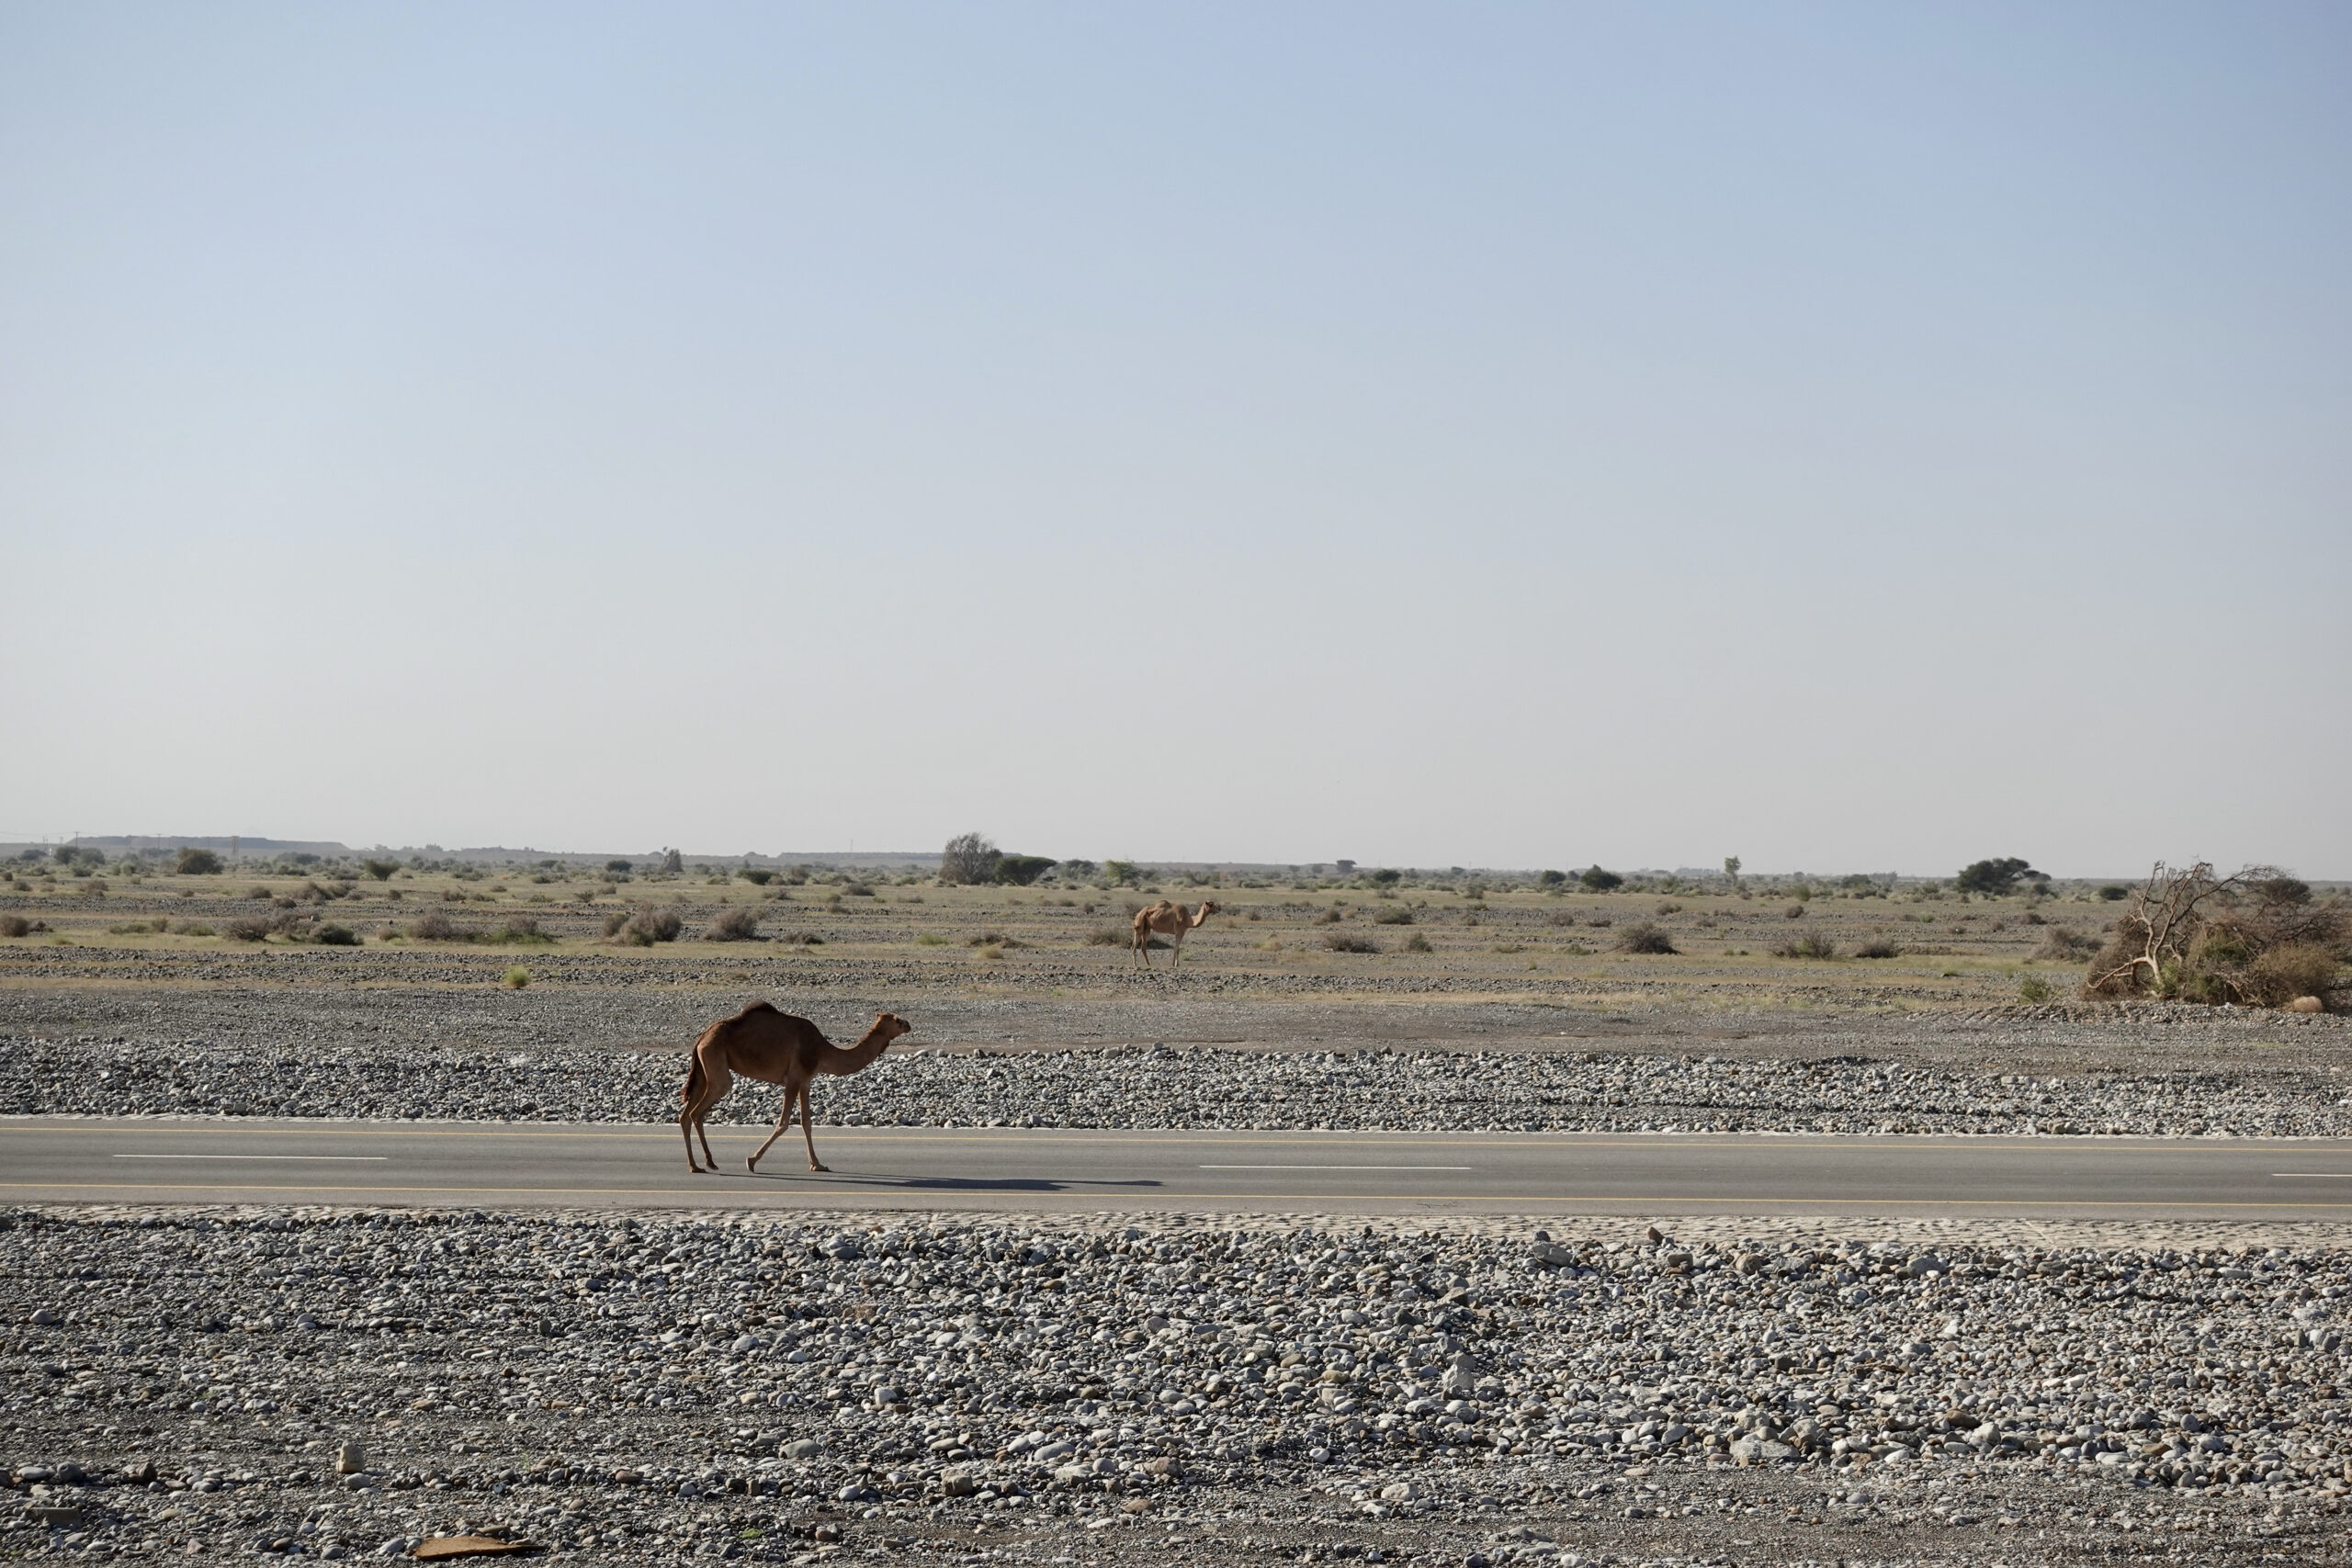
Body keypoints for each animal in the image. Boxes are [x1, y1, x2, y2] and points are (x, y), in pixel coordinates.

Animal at [682, 1010, 908, 1170]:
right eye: (897, 1020)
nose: (908, 1025)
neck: (823, 1051)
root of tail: (703, 1036)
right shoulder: (794, 1078)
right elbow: (783, 1123)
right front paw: (752, 1160)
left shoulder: (806, 1081)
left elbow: (806, 1122)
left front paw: (818, 1164)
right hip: (716, 1062)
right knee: (699, 1110)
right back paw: (705, 1163)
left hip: (703, 1068)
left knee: (685, 1115)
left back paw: (697, 1165)